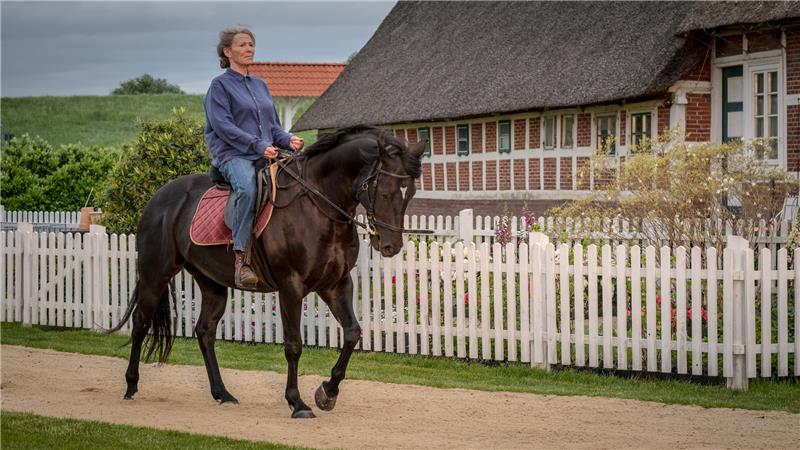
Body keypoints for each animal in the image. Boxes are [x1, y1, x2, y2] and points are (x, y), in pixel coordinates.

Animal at [109, 125, 428, 418]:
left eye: (409, 193)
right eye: (384, 191)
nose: (390, 246)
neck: (318, 206)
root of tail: (158, 197)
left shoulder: (336, 284)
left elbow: (352, 333)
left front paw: (327, 392)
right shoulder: (291, 287)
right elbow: (294, 345)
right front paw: (297, 402)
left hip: (212, 284)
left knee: (204, 332)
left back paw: (222, 393)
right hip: (155, 276)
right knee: (141, 323)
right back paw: (130, 385)